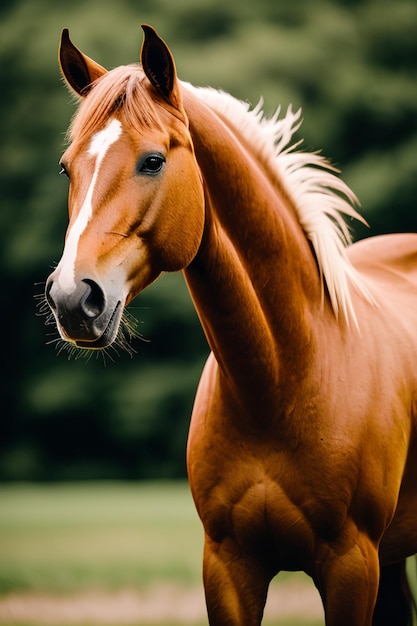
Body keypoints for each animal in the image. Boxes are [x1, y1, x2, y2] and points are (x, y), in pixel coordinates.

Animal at [43, 26, 417, 620]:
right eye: (66, 167)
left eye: (153, 161)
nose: (72, 298)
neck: (282, 379)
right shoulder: (227, 567)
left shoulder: (353, 568)